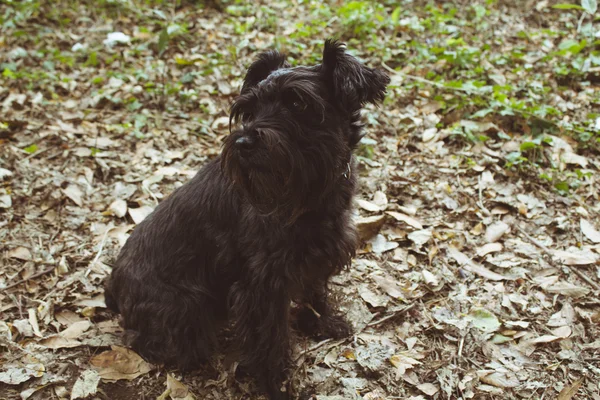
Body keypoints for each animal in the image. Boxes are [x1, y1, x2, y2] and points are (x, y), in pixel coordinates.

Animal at [104, 39, 390, 396]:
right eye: (249, 110)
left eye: (298, 103)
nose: (242, 142)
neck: (308, 195)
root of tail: (113, 285)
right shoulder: (263, 286)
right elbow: (271, 338)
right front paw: (277, 382)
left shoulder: (319, 254)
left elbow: (316, 292)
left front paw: (322, 323)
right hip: (185, 307)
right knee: (143, 339)